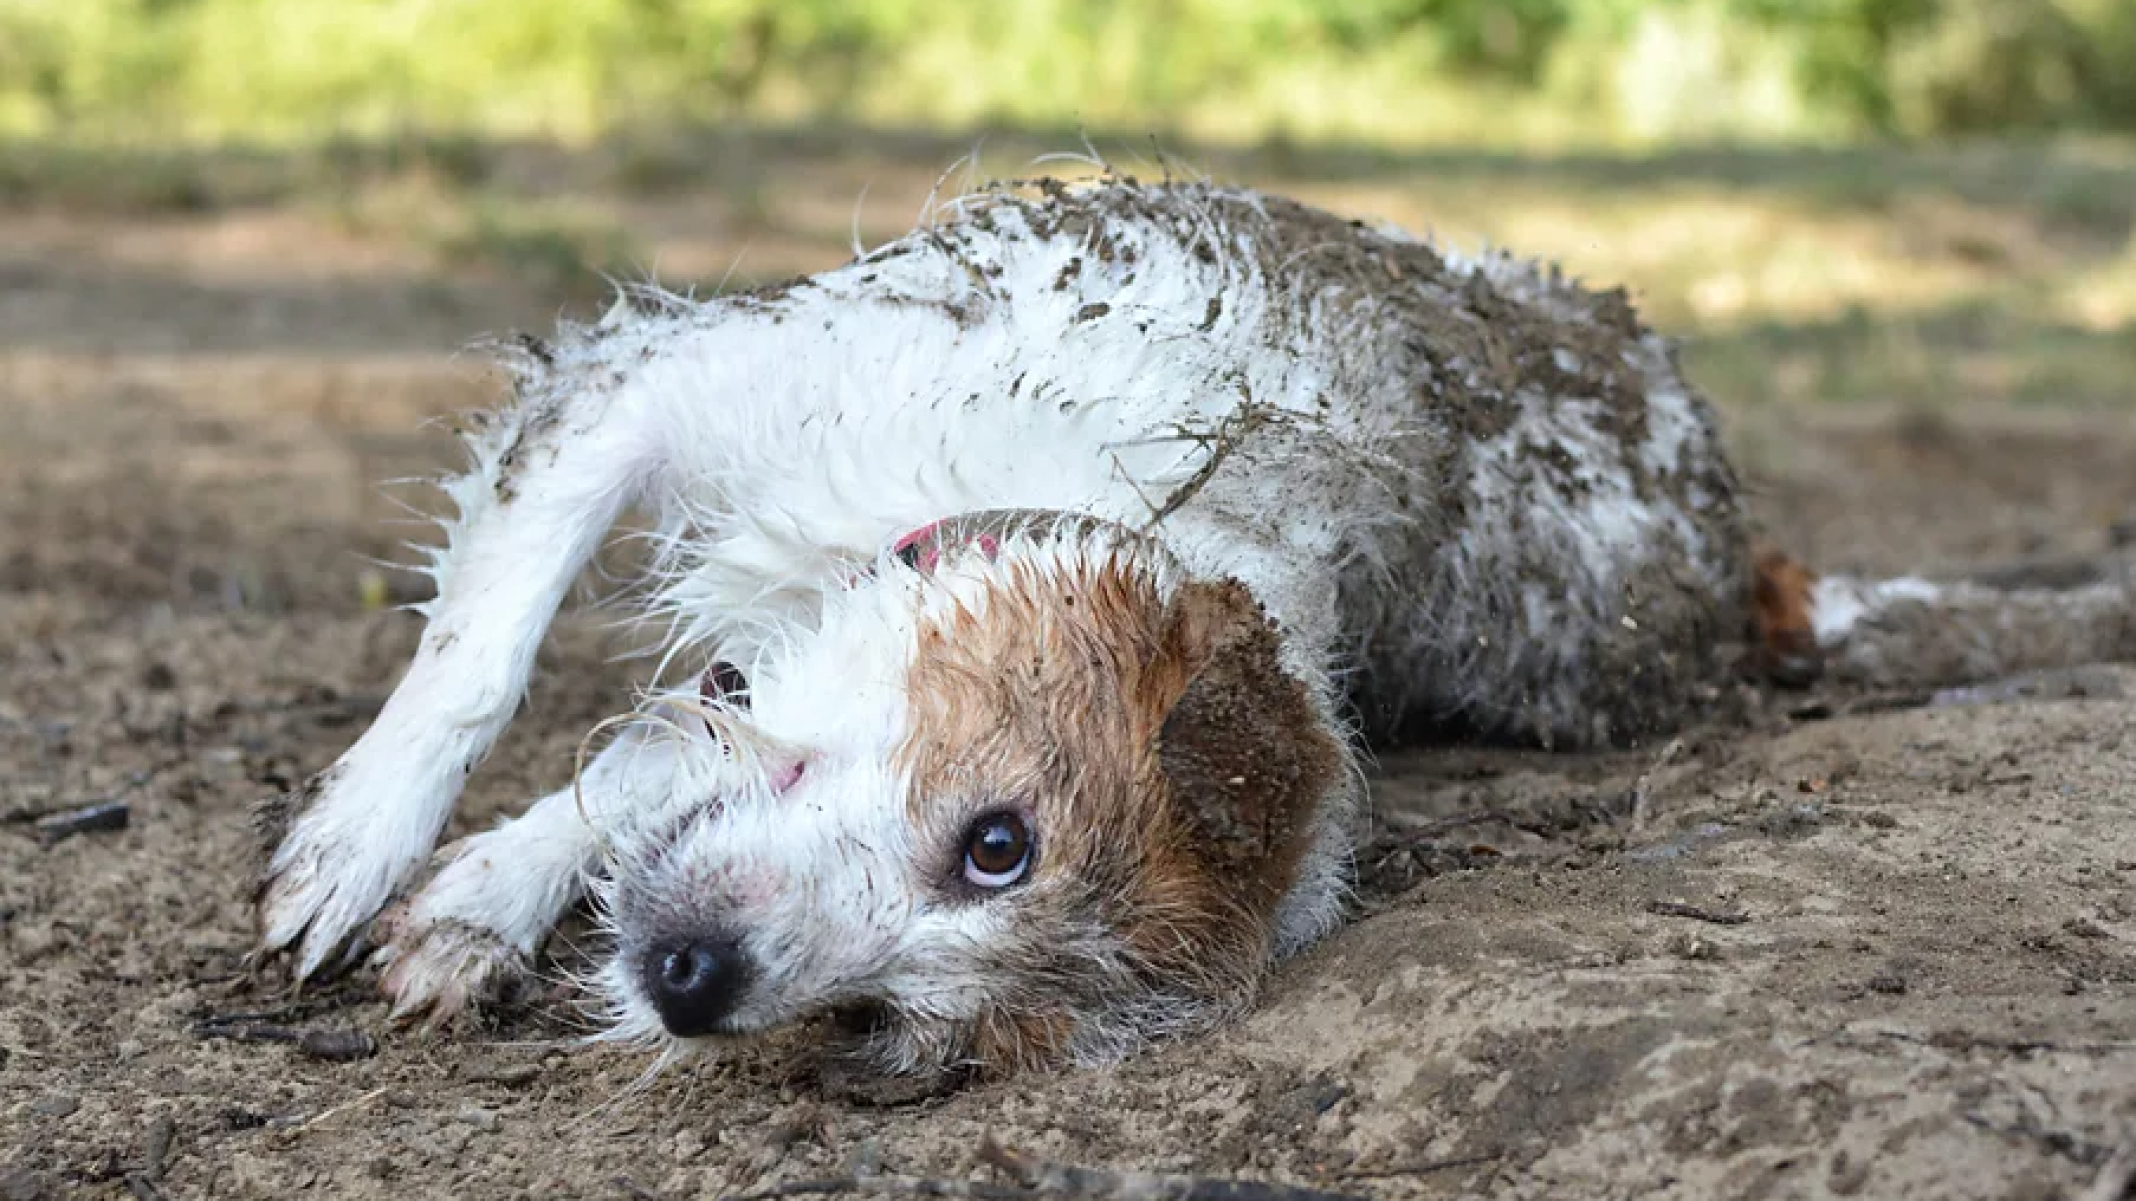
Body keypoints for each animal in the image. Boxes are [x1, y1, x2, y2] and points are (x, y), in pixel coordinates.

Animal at [254, 175, 2136, 1077]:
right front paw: (369, 846)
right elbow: (487, 655)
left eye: (896, 1019)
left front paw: (480, 900)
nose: (697, 987)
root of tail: (1741, 567)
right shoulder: (655, 386)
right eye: (997, 839)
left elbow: (642, 771)